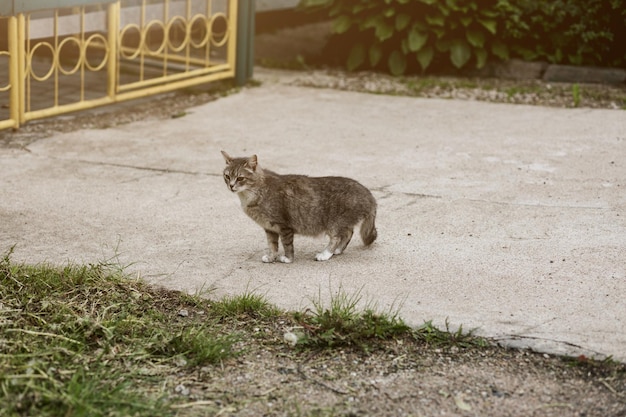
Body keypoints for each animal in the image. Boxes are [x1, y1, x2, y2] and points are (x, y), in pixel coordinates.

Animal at [221, 150, 376, 264]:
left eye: (240, 178)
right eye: (227, 176)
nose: (231, 186)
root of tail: (368, 192)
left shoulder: (284, 226)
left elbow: (287, 244)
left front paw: (288, 258)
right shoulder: (269, 228)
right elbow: (272, 245)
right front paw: (271, 257)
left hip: (334, 223)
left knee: (337, 237)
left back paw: (326, 254)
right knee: (348, 233)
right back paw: (337, 251)